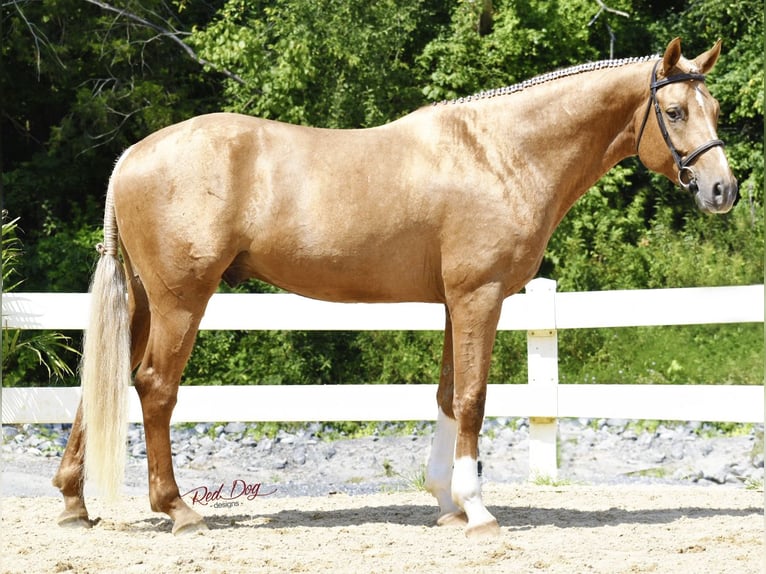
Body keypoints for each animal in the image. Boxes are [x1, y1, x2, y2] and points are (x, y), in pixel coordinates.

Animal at [52, 38, 736, 536]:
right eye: (675, 112)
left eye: (717, 112)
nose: (722, 190)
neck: (500, 153)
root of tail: (132, 154)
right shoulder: (480, 297)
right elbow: (473, 399)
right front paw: (478, 512)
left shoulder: (456, 303)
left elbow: (447, 394)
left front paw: (448, 504)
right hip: (181, 300)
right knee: (154, 387)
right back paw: (179, 510)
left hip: (143, 300)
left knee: (105, 381)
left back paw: (73, 504)